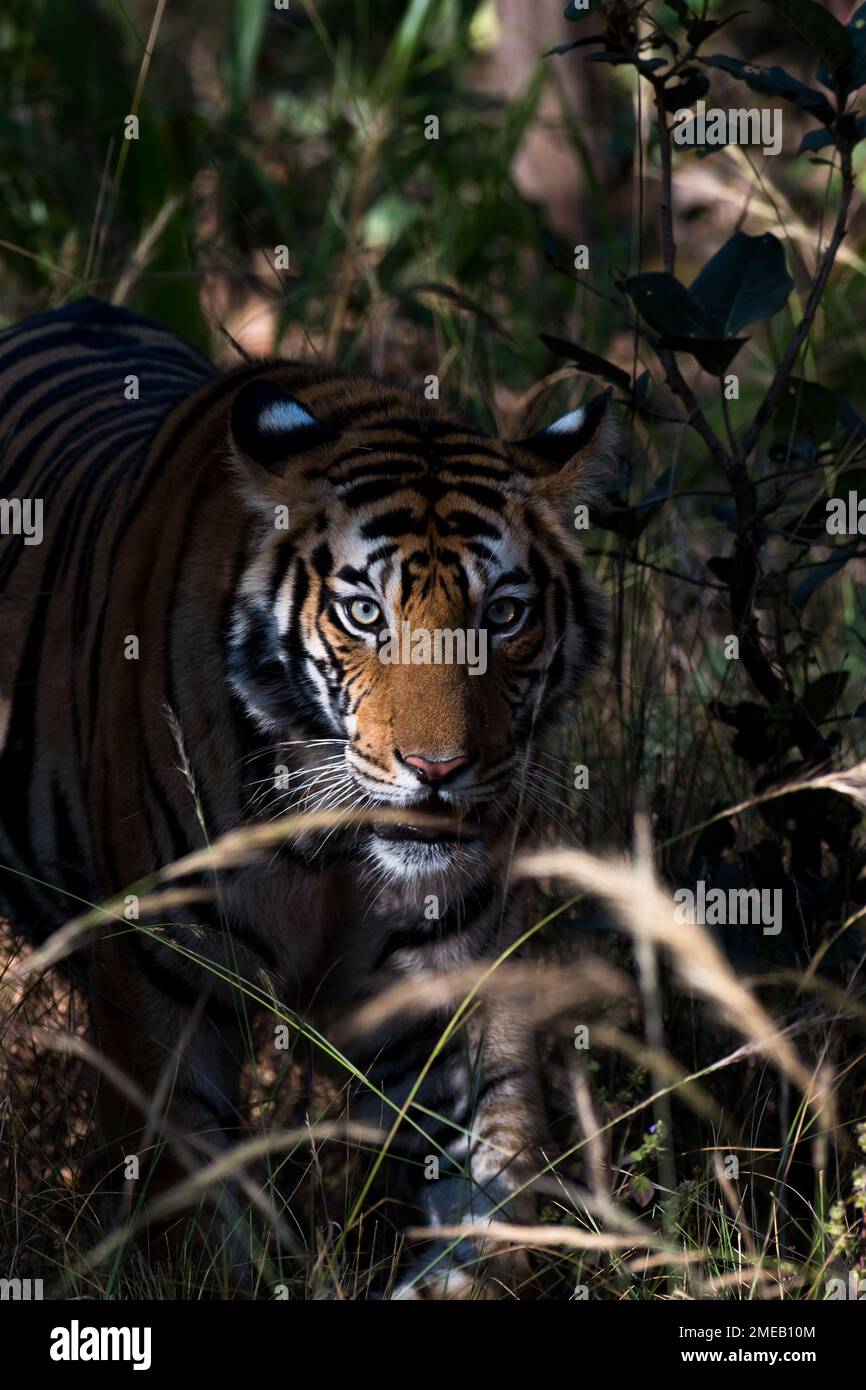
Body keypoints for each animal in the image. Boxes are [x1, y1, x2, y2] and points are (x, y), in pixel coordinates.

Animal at [0, 298, 608, 1295]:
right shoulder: (164, 976)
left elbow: (495, 1173)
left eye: (504, 615)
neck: (336, 847)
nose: (438, 767)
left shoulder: (452, 973)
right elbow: (190, 1208)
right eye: (366, 614)